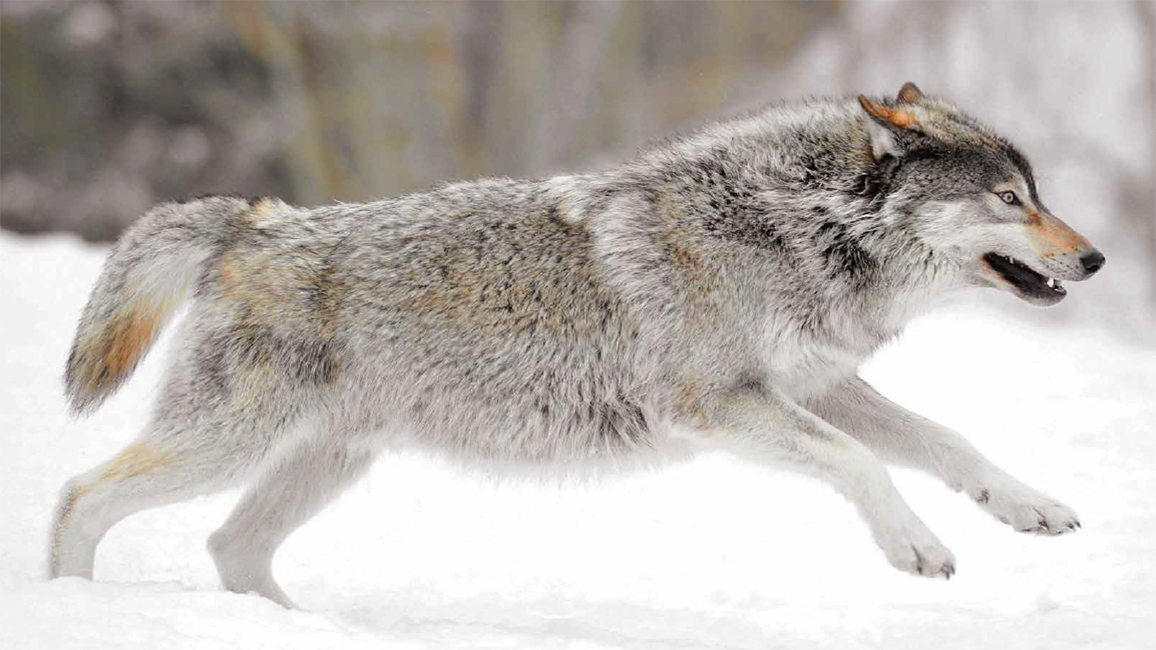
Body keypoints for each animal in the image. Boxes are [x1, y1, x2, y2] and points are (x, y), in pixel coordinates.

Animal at [50, 82, 1104, 608]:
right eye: (1010, 199)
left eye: (1038, 195)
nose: (1094, 259)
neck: (795, 228)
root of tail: (255, 221)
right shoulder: (723, 406)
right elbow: (864, 466)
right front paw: (916, 548)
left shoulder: (819, 387)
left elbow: (946, 442)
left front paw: (1031, 508)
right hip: (226, 447)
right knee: (80, 496)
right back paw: (74, 612)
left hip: (325, 463)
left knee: (231, 548)